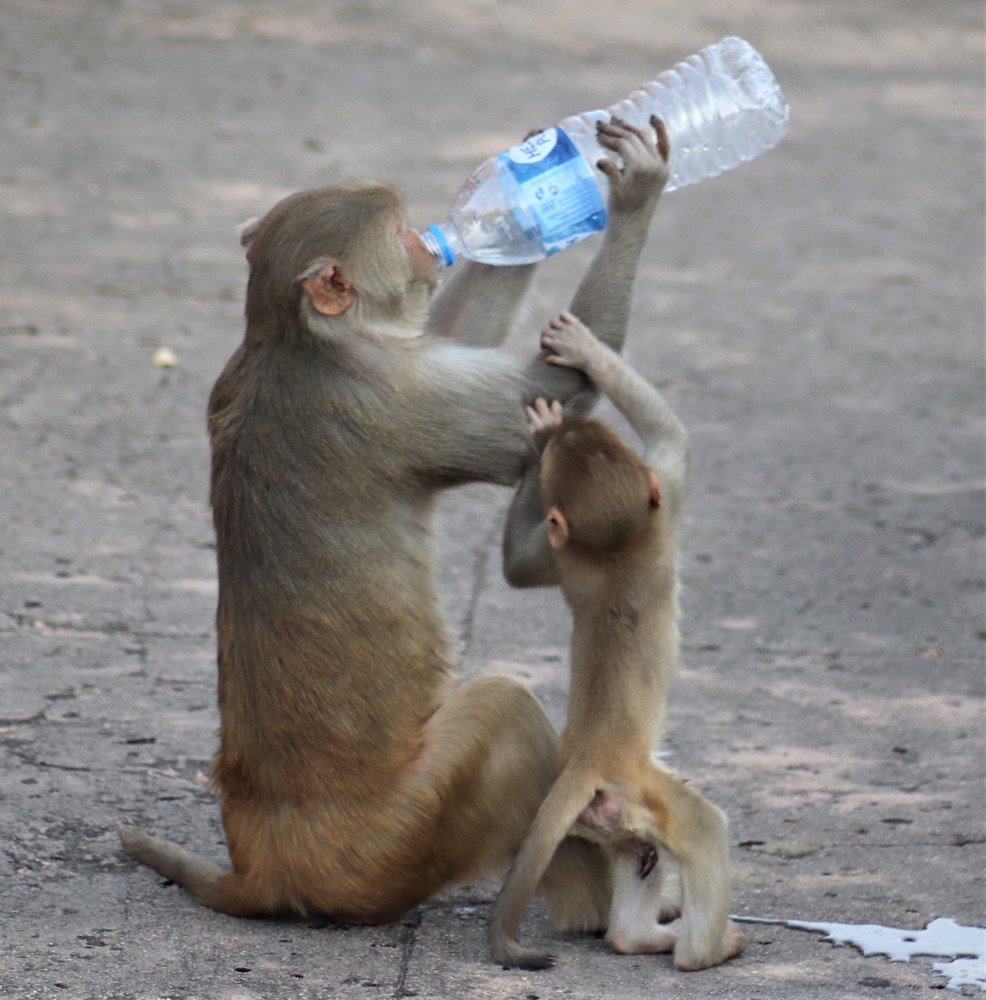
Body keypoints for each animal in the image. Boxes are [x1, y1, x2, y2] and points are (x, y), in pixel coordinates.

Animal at [116, 118, 672, 929]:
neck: (289, 335)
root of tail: (266, 870)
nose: (428, 240)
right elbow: (550, 389)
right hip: (405, 832)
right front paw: (630, 193)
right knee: (503, 707)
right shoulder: (392, 398)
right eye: (398, 227)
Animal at [488, 311, 746, 971]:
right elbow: (671, 435)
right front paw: (586, 353)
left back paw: (638, 935)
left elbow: (520, 568)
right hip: (643, 791)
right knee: (703, 824)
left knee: (636, 852)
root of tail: (586, 760)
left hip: (611, 817)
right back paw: (702, 951)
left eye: (586, 443)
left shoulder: (570, 557)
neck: (615, 552)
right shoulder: (667, 504)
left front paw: (543, 431)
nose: (567, 428)